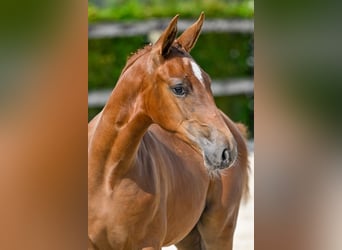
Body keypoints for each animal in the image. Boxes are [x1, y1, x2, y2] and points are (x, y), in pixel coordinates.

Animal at [88, 13, 248, 250]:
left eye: (209, 83)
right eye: (178, 88)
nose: (226, 150)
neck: (107, 177)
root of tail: (236, 129)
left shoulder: (148, 244)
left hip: (218, 232)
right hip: (188, 236)